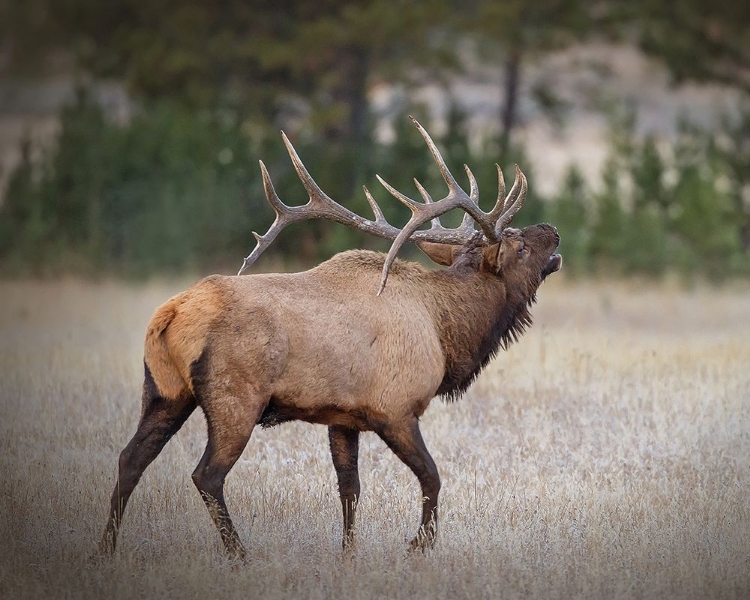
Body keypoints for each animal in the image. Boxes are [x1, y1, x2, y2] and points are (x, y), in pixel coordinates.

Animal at [103, 116, 564, 556]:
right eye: (520, 246)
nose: (553, 229)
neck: (445, 330)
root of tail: (170, 313)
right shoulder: (395, 408)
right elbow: (432, 477)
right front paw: (420, 544)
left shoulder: (343, 416)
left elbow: (350, 490)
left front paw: (348, 554)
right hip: (235, 397)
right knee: (206, 475)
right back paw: (239, 555)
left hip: (165, 391)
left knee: (130, 459)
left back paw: (106, 548)